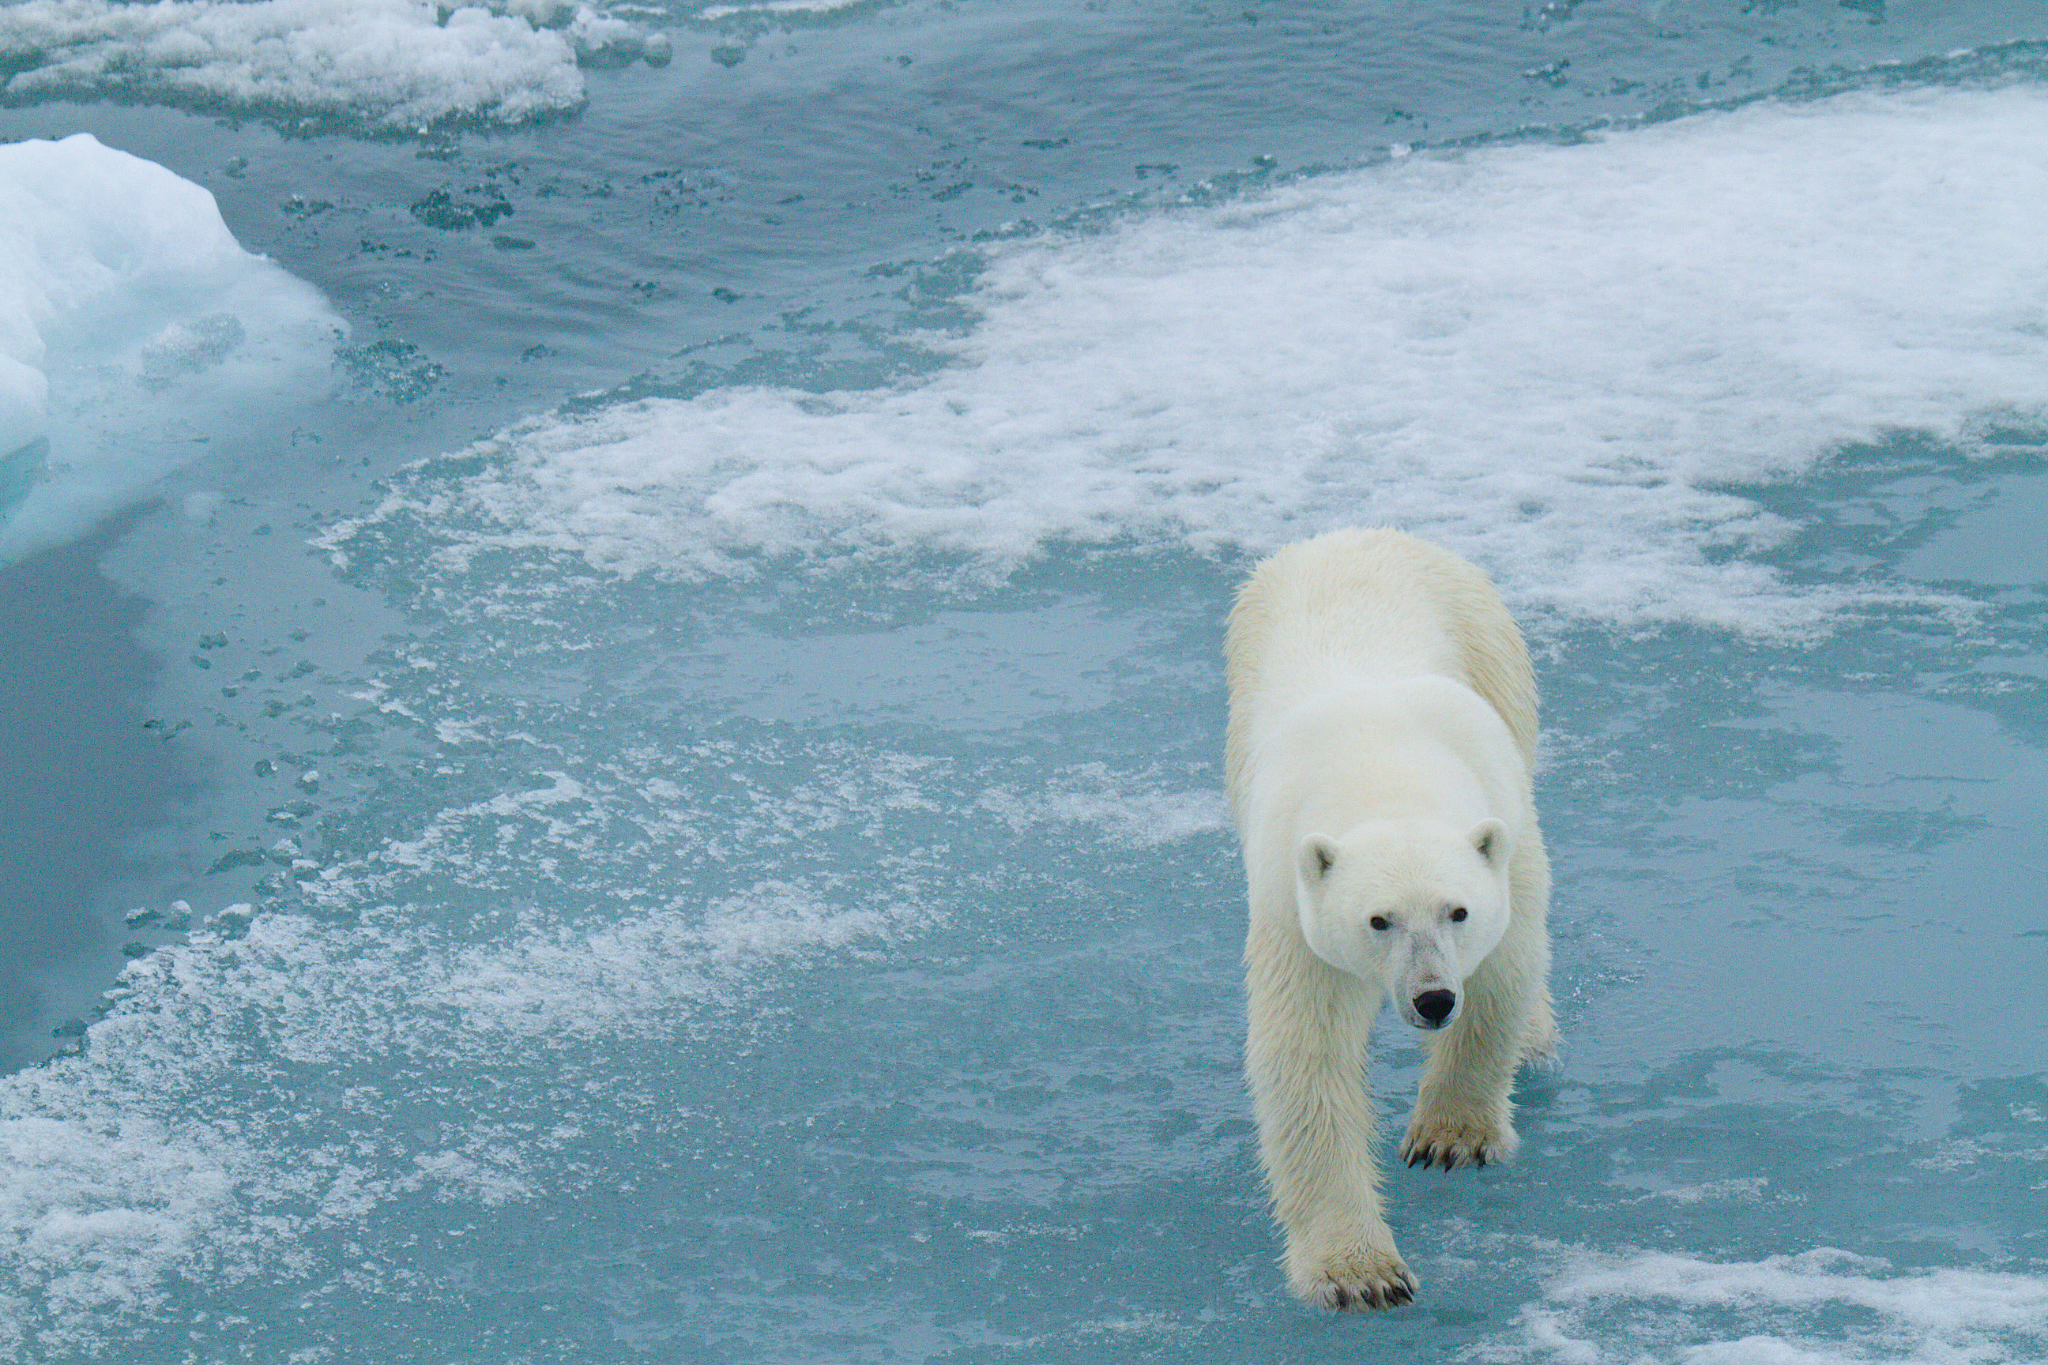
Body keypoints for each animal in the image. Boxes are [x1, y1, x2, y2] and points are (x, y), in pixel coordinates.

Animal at [1223, 526, 1557, 1312]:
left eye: (1457, 910)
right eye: (1378, 920)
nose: (1433, 999)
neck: (1383, 767)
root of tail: (1353, 532)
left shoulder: (1504, 835)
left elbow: (1504, 971)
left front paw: (1451, 1137)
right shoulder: (1294, 906)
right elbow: (1308, 1058)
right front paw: (1359, 1272)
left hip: (1493, 647)